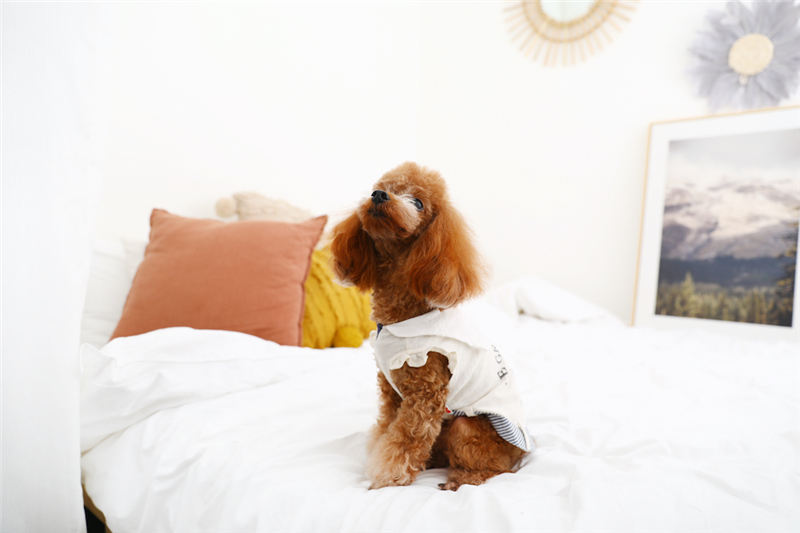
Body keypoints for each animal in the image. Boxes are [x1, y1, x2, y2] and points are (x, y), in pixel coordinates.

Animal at [331, 162, 530, 491]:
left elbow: (404, 441)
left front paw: (385, 480)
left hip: (467, 427)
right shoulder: (392, 392)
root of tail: (521, 453)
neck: (402, 317)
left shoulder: (424, 396)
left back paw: (458, 480)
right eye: (383, 187)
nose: (378, 195)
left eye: (418, 203)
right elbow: (386, 430)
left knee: (494, 470)